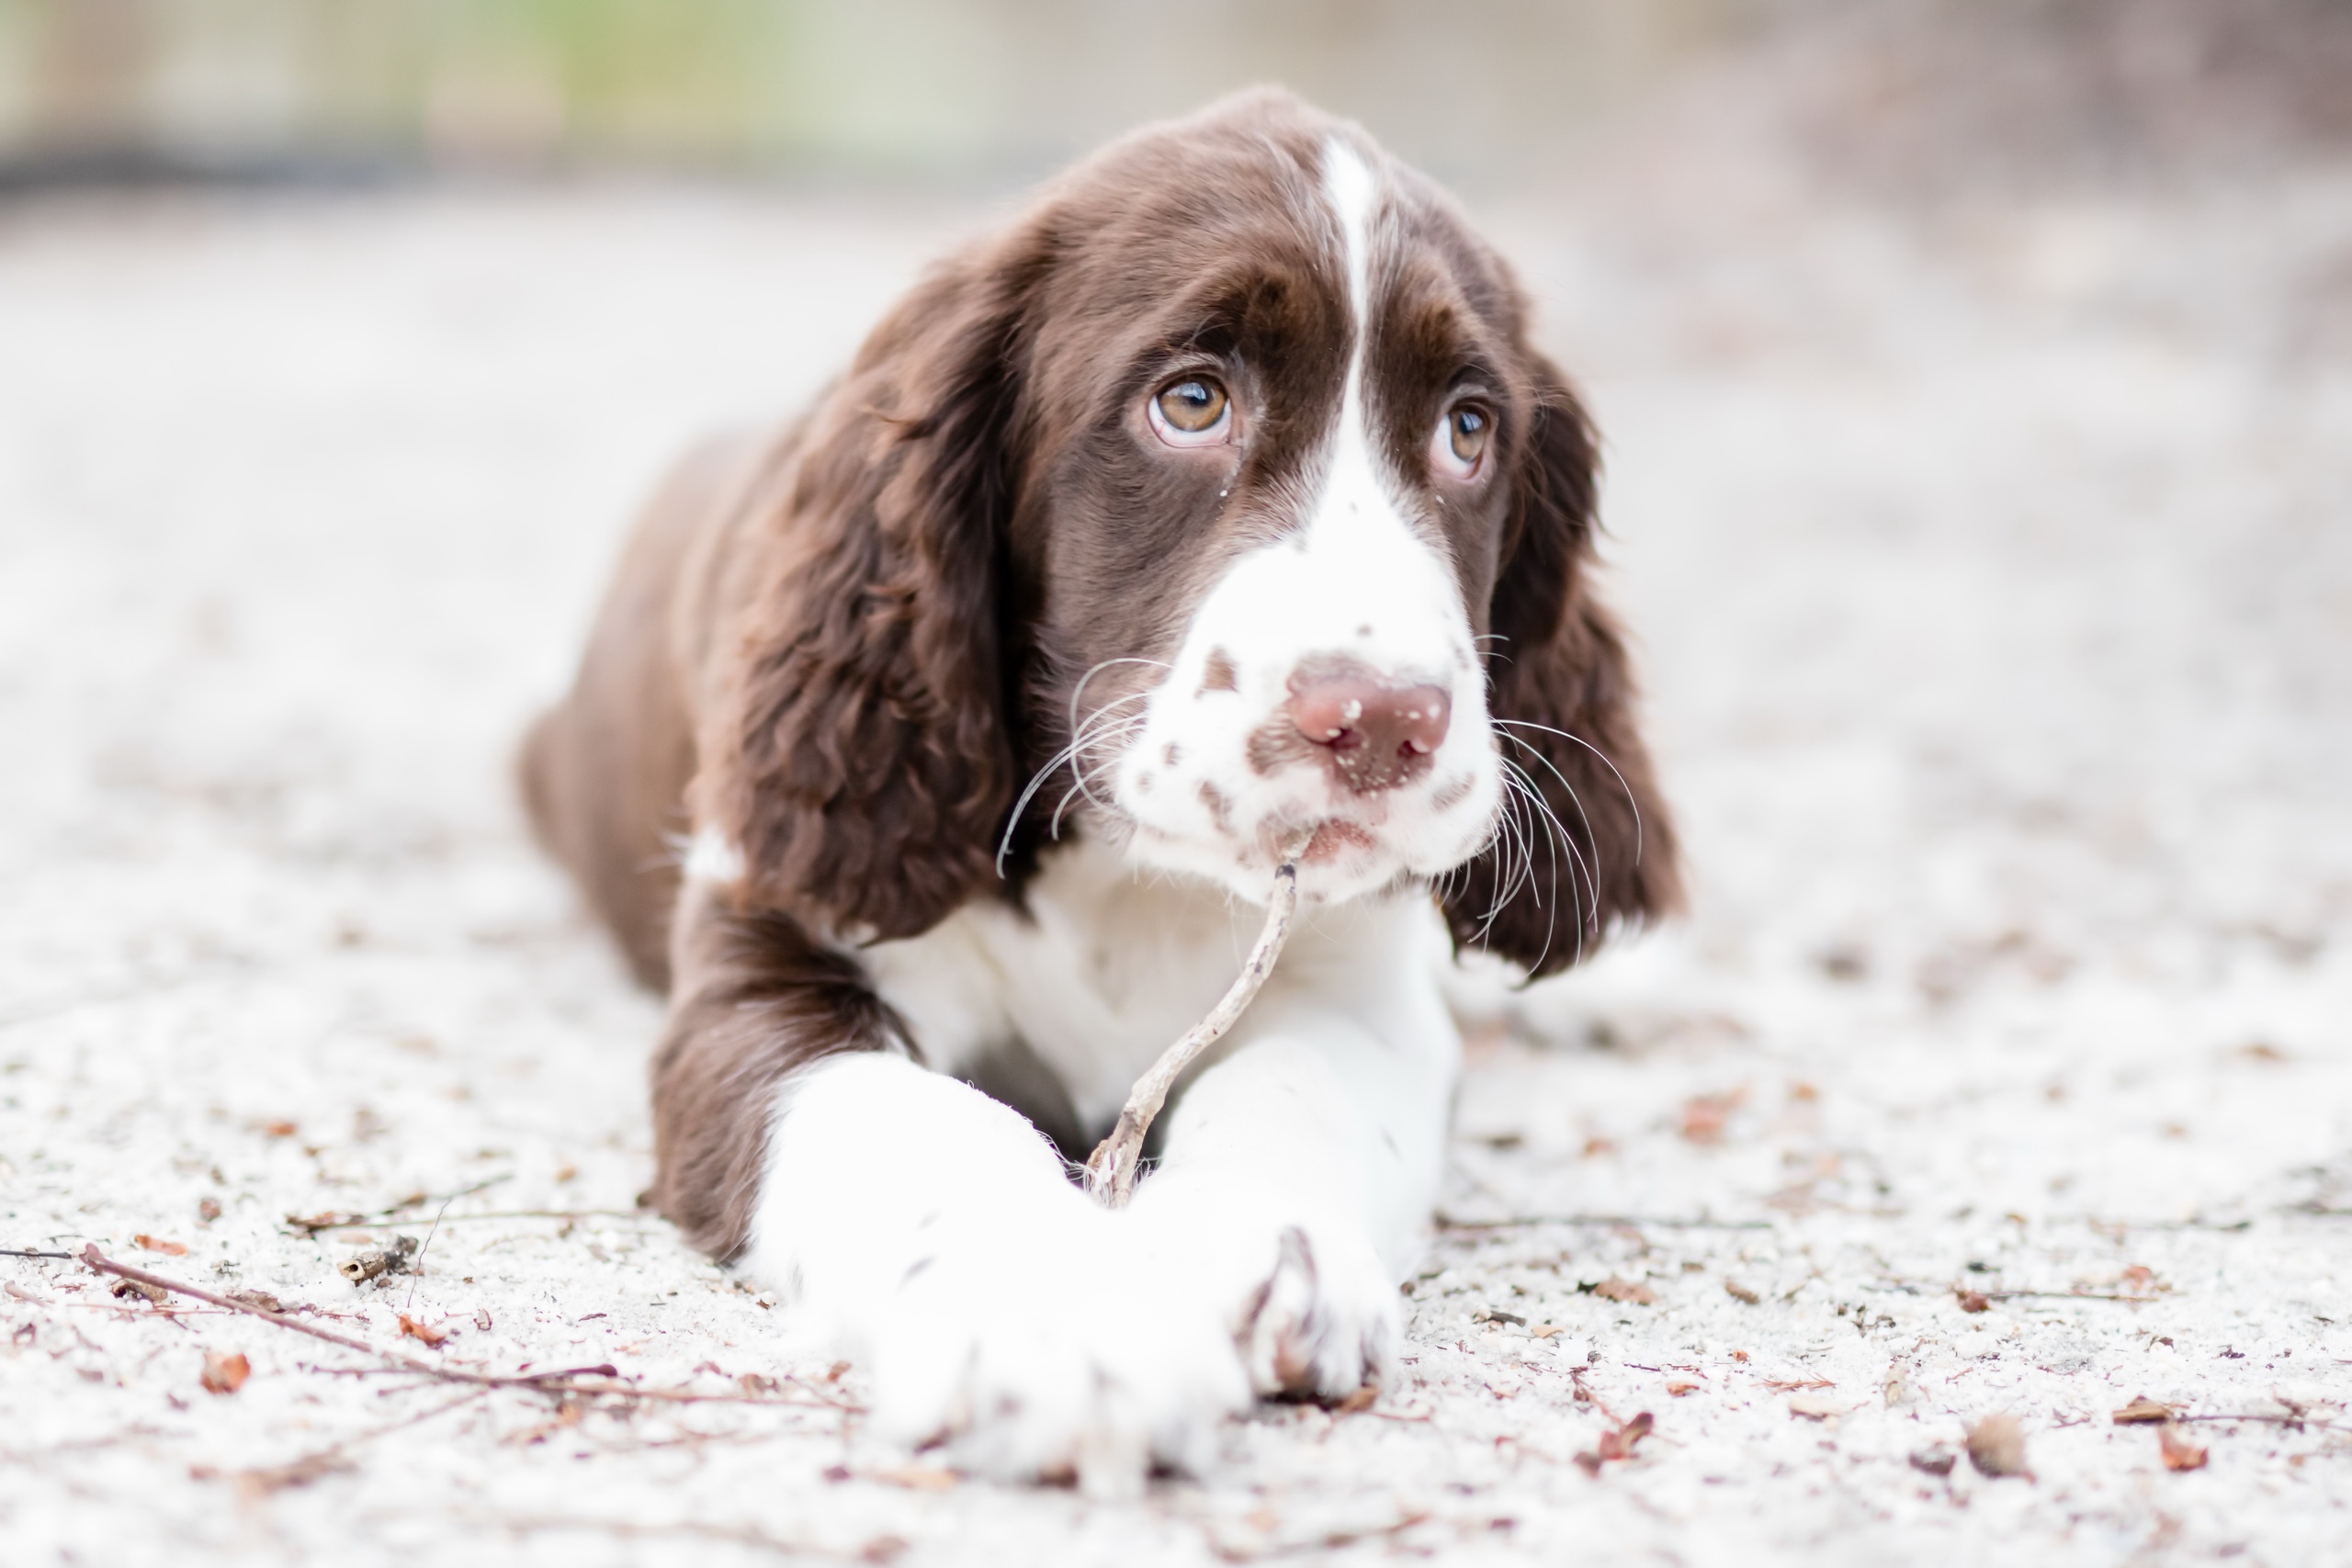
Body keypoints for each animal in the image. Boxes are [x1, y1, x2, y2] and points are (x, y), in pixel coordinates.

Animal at [526, 88, 1683, 1495]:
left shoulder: (1360, 985)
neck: (1131, 867)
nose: (1383, 722)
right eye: (1189, 402)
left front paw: (1256, 1250)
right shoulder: (768, 952)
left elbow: (1300, 1077)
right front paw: (1061, 1323)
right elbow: (919, 1115)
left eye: (1469, 431)